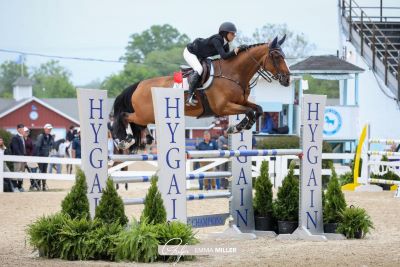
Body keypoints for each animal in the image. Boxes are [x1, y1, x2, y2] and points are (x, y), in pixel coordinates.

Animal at [111, 35, 290, 151]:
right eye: (276, 56)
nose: (287, 79)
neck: (233, 74)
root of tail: (139, 85)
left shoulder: (241, 101)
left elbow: (257, 109)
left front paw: (240, 127)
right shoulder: (223, 107)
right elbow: (250, 112)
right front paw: (236, 128)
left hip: (149, 115)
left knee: (138, 124)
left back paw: (146, 139)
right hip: (143, 114)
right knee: (125, 117)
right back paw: (125, 141)